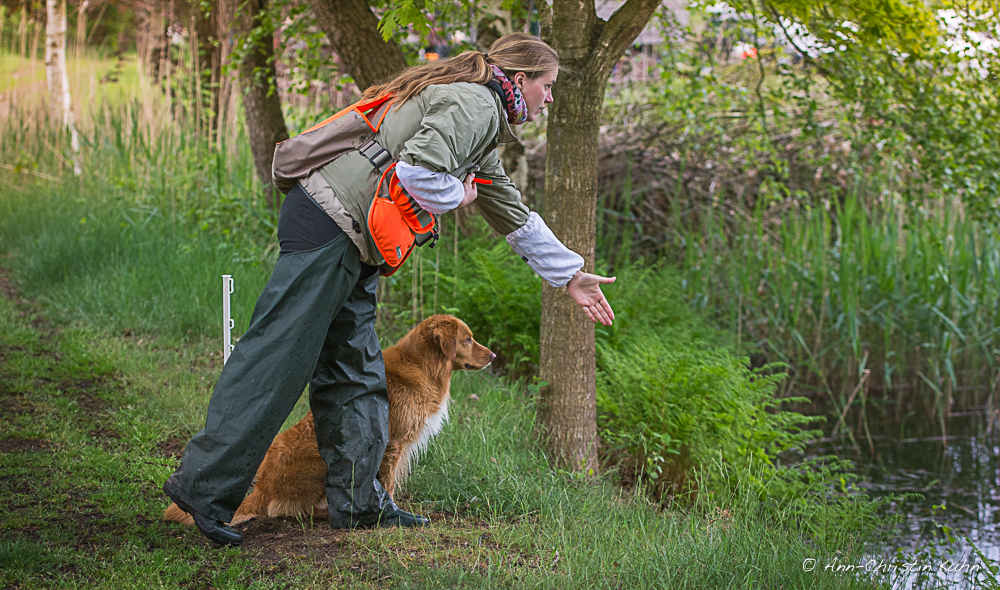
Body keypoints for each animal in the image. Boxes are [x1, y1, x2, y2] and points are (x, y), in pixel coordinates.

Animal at [164, 314, 496, 528]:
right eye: (468, 339)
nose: (493, 356)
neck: (424, 364)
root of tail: (263, 489)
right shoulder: (392, 444)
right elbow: (387, 484)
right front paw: (389, 513)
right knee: (294, 511)